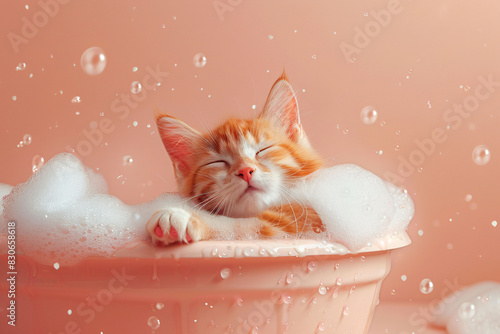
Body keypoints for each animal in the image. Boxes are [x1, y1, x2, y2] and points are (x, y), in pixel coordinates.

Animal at [146, 73, 324, 244]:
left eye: (262, 150)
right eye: (219, 162)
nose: (245, 171)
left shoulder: (306, 217)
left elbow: (240, 227)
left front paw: (185, 216)